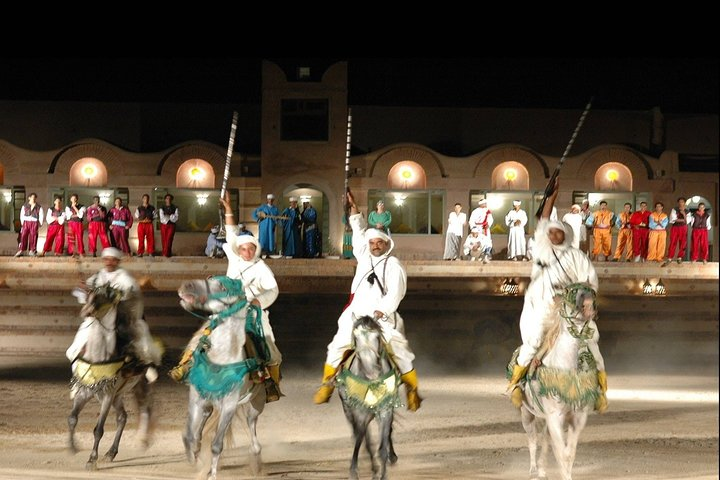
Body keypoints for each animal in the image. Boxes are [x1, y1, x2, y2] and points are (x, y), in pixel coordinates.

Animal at [65, 286, 155, 470]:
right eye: (89, 295)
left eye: (106, 296)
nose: (86, 311)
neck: (97, 355)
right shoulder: (84, 392)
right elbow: (72, 418)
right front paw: (72, 448)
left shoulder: (106, 395)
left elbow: (98, 429)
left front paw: (92, 459)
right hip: (117, 395)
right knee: (122, 417)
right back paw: (111, 453)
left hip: (137, 386)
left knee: (145, 408)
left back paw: (143, 441)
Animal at [179, 274, 268, 480]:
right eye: (210, 278)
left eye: (223, 287)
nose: (187, 285)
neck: (221, 357)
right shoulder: (196, 397)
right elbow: (189, 436)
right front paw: (194, 457)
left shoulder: (229, 404)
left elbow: (217, 445)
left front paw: (211, 474)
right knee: (204, 417)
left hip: (256, 403)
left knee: (252, 425)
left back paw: (256, 458)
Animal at [516, 284, 608, 480]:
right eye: (570, 291)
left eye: (591, 290)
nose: (588, 303)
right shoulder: (554, 417)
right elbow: (560, 452)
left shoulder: (577, 418)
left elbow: (568, 453)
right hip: (527, 414)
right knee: (532, 440)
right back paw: (533, 470)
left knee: (544, 440)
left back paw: (542, 471)